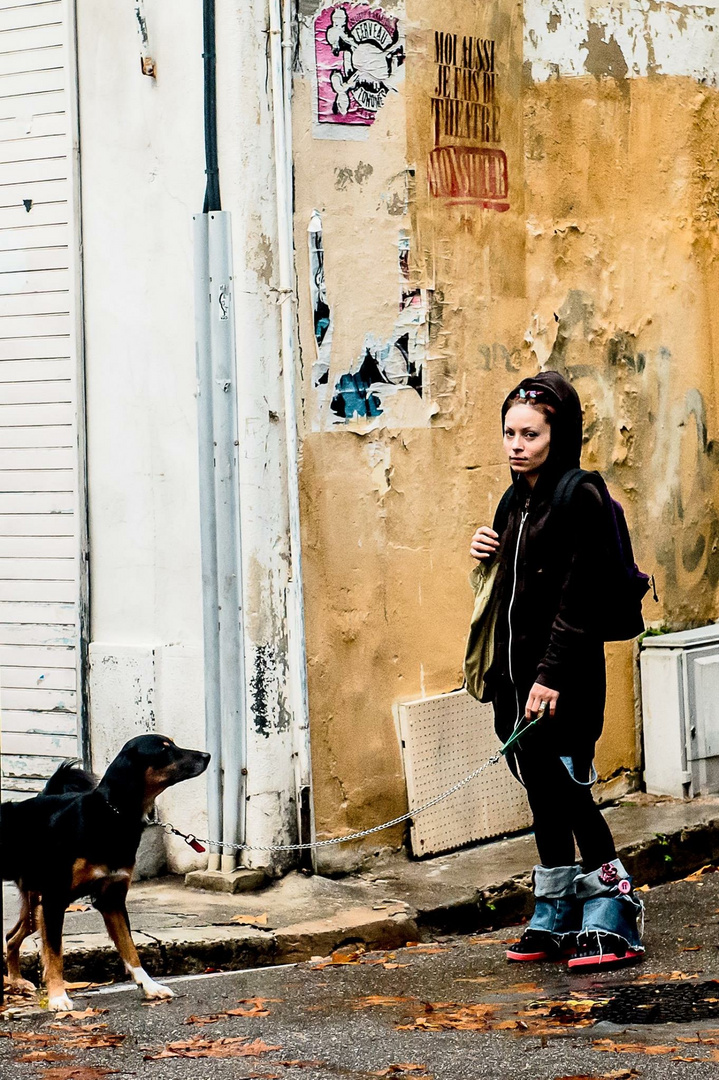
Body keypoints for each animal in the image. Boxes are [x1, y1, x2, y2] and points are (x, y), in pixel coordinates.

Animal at [2, 734, 208, 1010]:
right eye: (164, 750)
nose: (207, 756)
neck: (112, 818)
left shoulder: (111, 899)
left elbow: (131, 950)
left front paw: (150, 986)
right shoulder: (55, 900)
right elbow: (54, 953)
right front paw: (58, 997)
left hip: (35, 905)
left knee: (11, 937)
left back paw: (16, 981)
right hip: (40, 904)